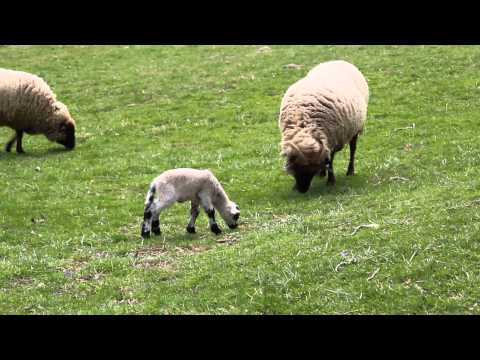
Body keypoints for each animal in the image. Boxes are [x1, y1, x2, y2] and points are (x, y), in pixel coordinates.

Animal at [278, 60, 368, 193]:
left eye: (310, 169)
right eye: (295, 168)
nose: (302, 190)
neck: (303, 128)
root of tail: (339, 60)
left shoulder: (333, 139)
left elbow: (330, 161)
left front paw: (331, 181)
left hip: (355, 128)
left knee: (353, 149)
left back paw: (350, 171)